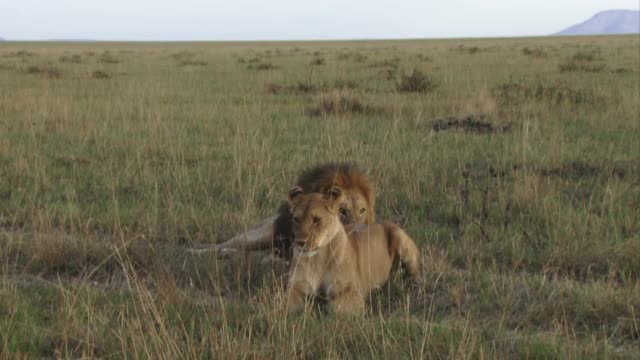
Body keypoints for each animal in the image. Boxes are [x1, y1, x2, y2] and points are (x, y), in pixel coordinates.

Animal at [284, 186, 420, 316]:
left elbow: (333, 306)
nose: (300, 242)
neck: (317, 259)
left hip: (399, 237)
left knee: (414, 271)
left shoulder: (353, 293)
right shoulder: (295, 287)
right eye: (296, 219)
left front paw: (317, 305)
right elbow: (284, 305)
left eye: (316, 219)